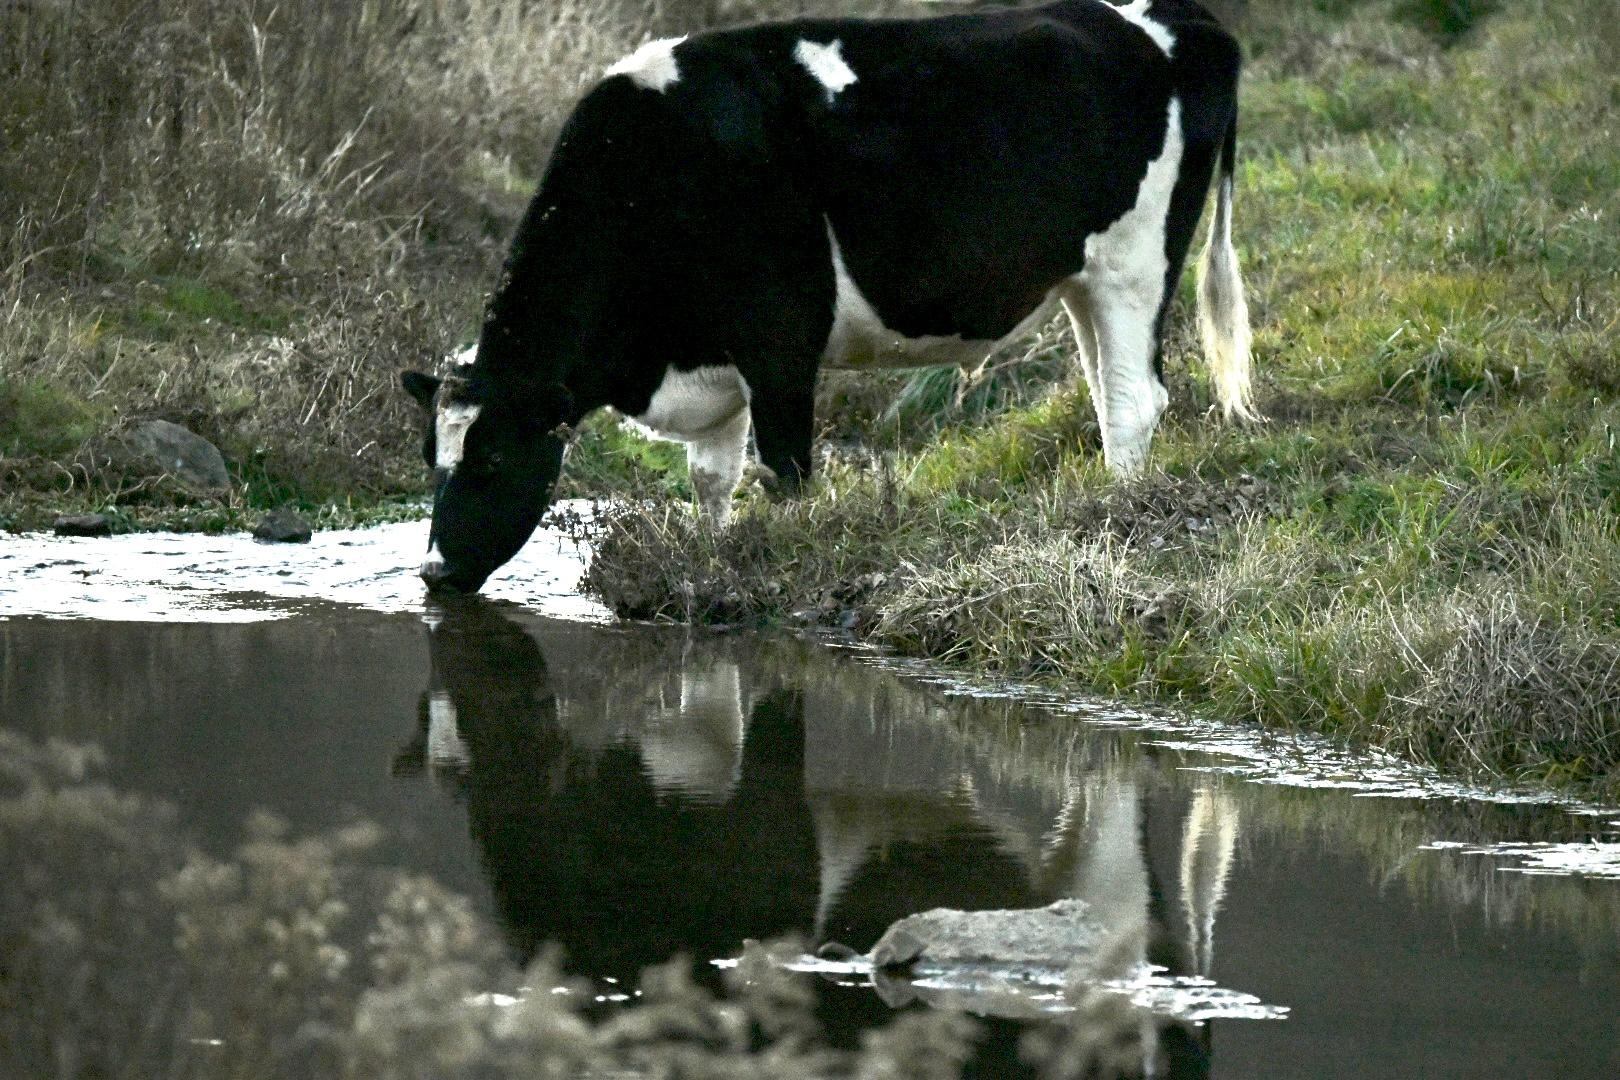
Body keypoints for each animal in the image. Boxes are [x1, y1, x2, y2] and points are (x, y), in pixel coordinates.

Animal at [402, 0, 1254, 593]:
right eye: (431, 460)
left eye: (490, 459)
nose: (433, 573)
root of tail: (1178, 17)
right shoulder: (712, 355)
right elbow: (712, 479)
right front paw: (711, 559)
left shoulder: (780, 340)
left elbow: (787, 473)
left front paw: (784, 560)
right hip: (1082, 279)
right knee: (1109, 394)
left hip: (1134, 264)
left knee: (1134, 402)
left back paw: (1114, 519)